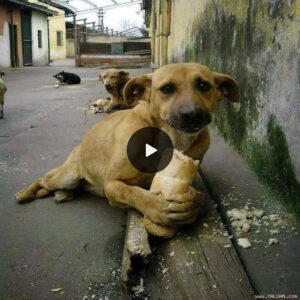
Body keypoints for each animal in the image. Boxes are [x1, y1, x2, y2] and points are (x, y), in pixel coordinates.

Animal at [15, 63, 239, 231]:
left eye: (204, 85)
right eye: (167, 88)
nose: (192, 114)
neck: (171, 138)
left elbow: (198, 196)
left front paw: (192, 207)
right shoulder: (112, 184)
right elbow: (132, 193)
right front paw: (157, 207)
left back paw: (64, 194)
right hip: (67, 175)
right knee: (43, 180)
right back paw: (25, 194)